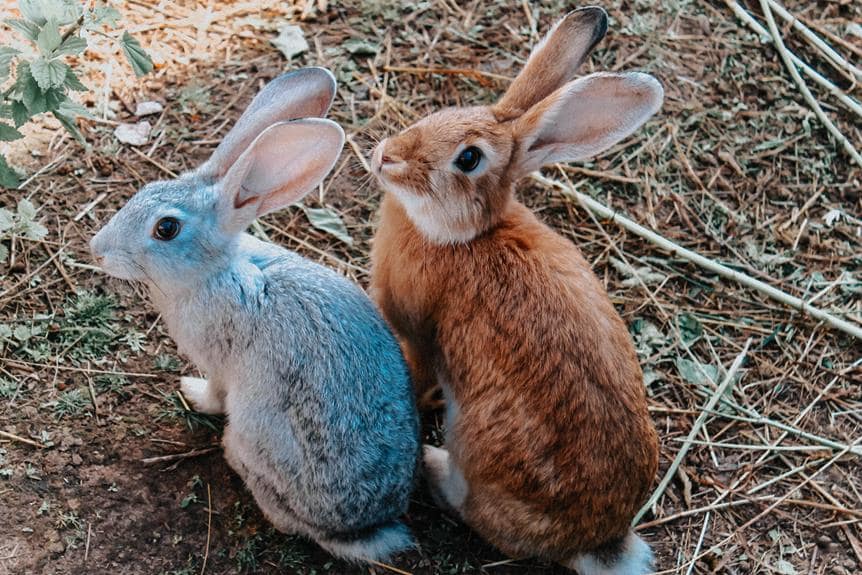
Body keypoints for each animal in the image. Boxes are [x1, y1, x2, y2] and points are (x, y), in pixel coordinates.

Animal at [90, 68, 420, 563]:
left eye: (166, 229)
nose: (98, 250)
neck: (215, 271)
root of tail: (359, 531)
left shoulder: (220, 365)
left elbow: (214, 391)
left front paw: (190, 392)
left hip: (256, 431)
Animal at [368, 7, 661, 575]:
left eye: (468, 159)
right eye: (442, 111)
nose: (386, 156)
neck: (464, 234)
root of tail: (599, 541)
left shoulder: (417, 337)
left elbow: (416, 376)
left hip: (476, 445)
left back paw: (432, 466)